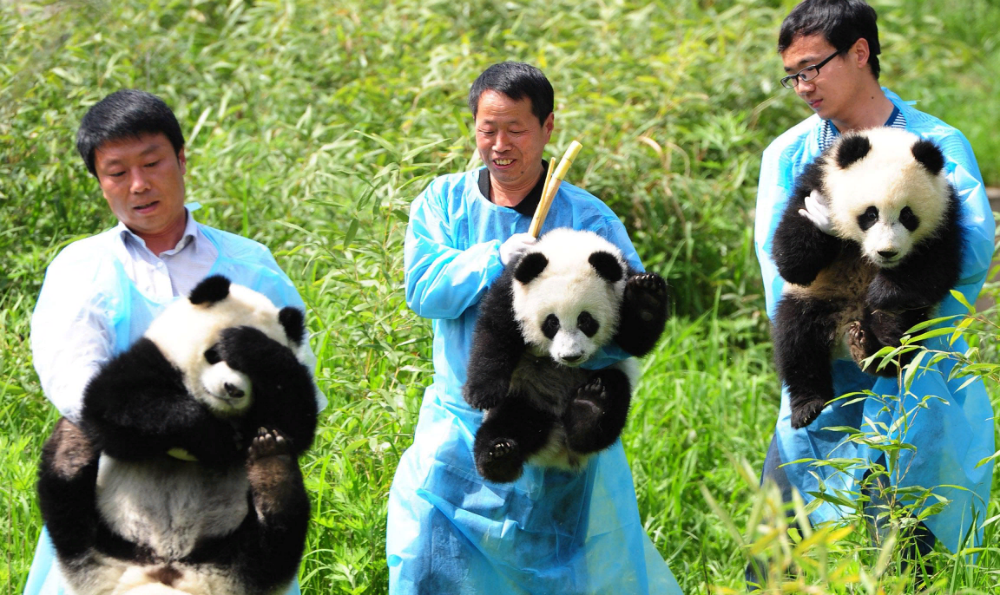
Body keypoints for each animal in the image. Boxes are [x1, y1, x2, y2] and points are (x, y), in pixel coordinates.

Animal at [37, 274, 318, 595]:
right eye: (214, 354)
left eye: (253, 377)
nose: (233, 389)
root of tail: (168, 568)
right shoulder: (151, 357)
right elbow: (113, 406)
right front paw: (213, 438)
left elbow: (298, 420)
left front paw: (250, 346)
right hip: (99, 547)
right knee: (67, 512)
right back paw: (69, 449)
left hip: (240, 561)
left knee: (277, 538)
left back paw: (272, 467)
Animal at [462, 228, 668, 484]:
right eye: (552, 322)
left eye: (586, 320)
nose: (571, 356)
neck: (569, 246)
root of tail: (555, 446)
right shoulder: (511, 292)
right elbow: (494, 334)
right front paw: (481, 394)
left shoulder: (621, 284)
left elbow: (636, 339)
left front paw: (647, 295)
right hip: (525, 393)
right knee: (507, 423)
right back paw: (499, 457)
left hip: (610, 378)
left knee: (610, 400)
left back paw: (589, 408)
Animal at [768, 128, 964, 430]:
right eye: (870, 214)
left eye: (908, 215)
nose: (887, 252)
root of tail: (844, 326)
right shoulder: (814, 186)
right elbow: (792, 260)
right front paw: (824, 225)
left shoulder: (945, 215)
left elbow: (937, 269)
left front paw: (881, 292)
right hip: (817, 298)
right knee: (796, 340)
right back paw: (808, 405)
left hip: (913, 317)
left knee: (900, 332)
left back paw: (872, 351)